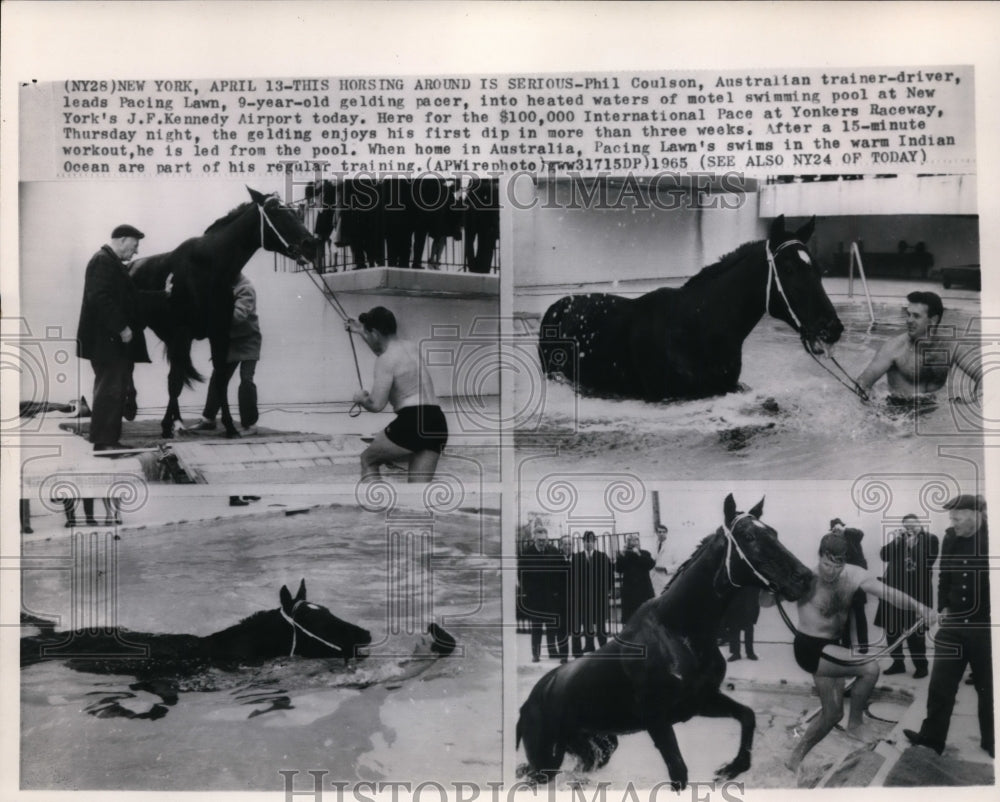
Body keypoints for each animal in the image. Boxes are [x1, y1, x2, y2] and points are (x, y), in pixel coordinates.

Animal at [129, 186, 316, 438]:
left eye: (295, 211)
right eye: (275, 211)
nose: (310, 244)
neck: (207, 269)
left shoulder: (219, 333)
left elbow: (219, 380)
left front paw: (229, 426)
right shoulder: (183, 332)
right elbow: (176, 382)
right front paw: (166, 426)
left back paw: (178, 421)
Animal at [520, 490, 816, 784]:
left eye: (774, 532)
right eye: (749, 536)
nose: (804, 578)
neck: (678, 633)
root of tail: (532, 697)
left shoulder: (701, 701)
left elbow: (748, 715)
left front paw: (732, 767)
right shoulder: (657, 721)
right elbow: (679, 772)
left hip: (595, 746)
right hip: (544, 759)